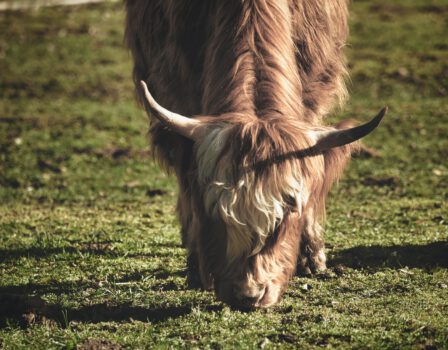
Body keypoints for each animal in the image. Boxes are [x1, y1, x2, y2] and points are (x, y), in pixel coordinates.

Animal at [125, 0, 384, 308]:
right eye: (214, 207)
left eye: (290, 207)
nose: (248, 294)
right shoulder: (174, 90)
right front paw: (198, 264)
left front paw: (312, 257)